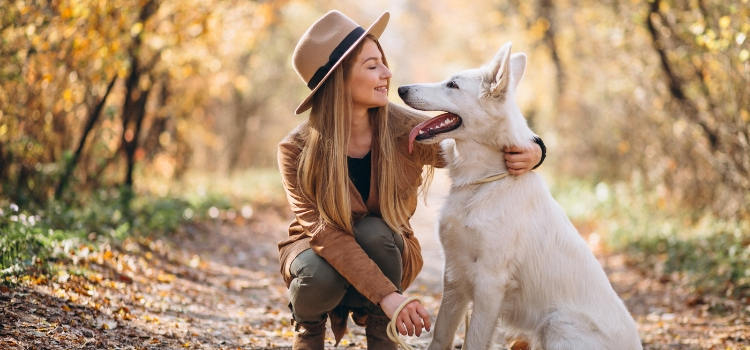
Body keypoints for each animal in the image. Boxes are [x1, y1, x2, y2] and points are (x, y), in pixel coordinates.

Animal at [400, 43, 640, 350]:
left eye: (452, 85)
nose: (401, 88)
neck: (484, 183)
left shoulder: (489, 283)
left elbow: (473, 341)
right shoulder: (454, 275)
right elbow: (441, 336)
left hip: (556, 325)